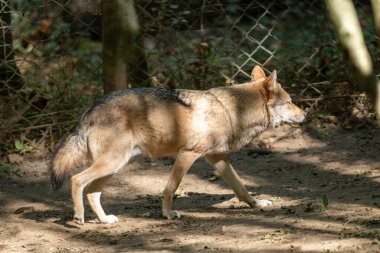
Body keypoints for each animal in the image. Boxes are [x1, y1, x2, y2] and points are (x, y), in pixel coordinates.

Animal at [50, 66, 306, 224]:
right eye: (291, 102)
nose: (305, 113)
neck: (232, 111)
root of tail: (90, 110)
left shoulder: (217, 158)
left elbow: (241, 188)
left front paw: (258, 204)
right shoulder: (187, 154)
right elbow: (170, 189)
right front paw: (168, 214)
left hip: (114, 166)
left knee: (92, 192)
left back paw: (105, 221)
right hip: (112, 164)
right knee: (77, 180)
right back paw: (78, 217)